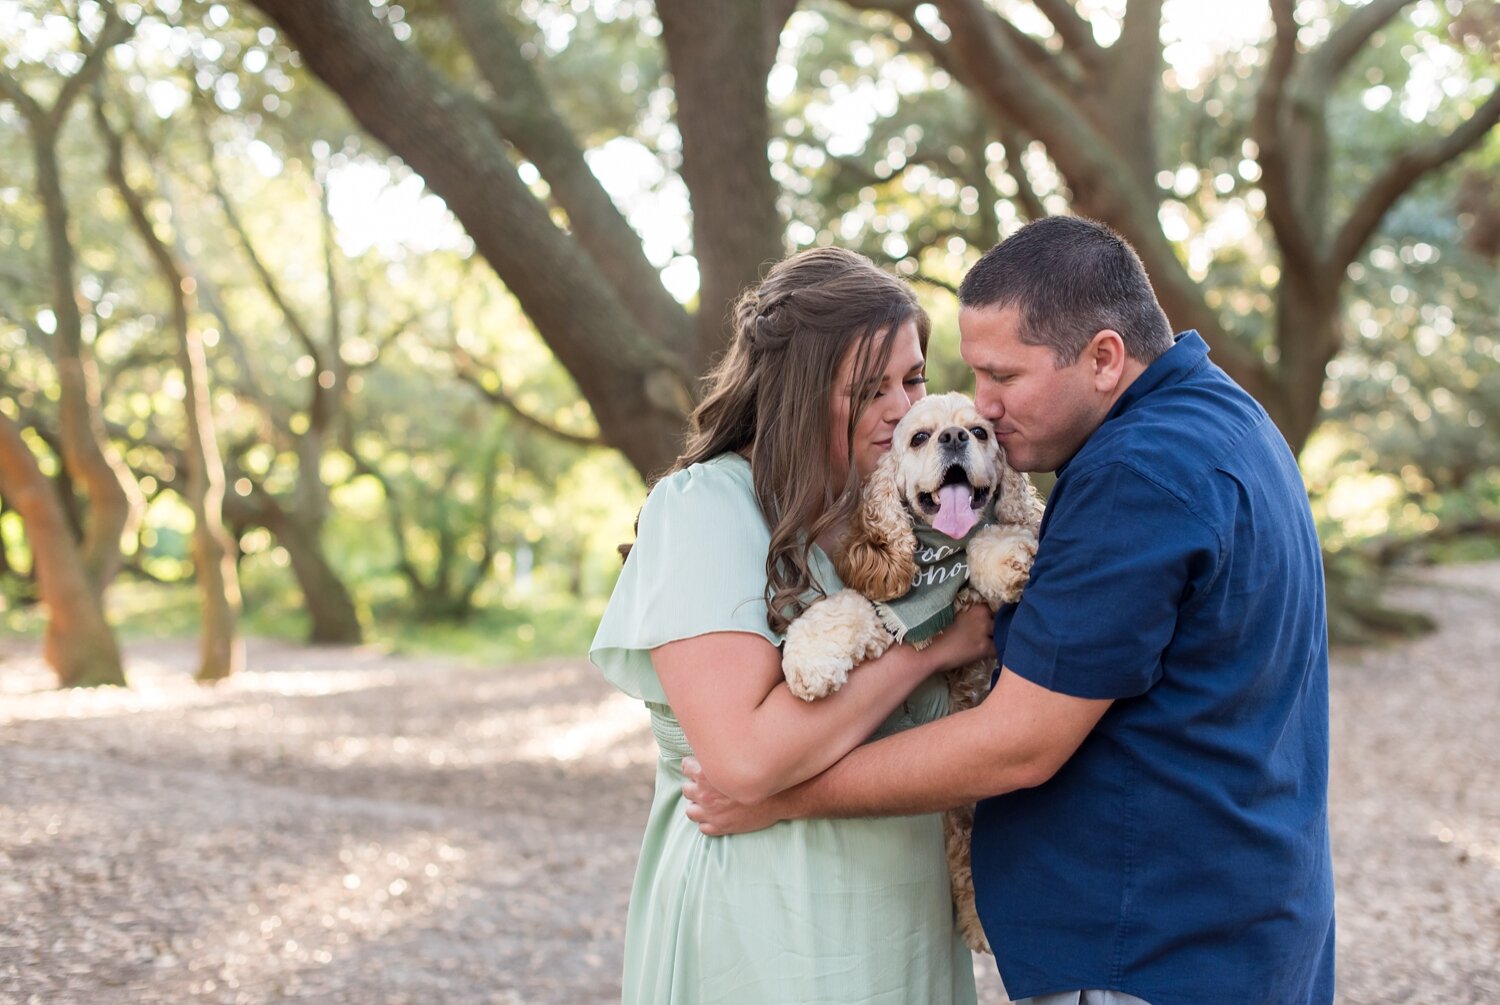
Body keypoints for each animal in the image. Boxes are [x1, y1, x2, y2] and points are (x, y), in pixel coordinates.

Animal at [780, 390, 1038, 954]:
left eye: (980, 432)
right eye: (919, 437)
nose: (954, 438)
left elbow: (999, 536)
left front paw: (1007, 559)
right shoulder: (889, 613)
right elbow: (845, 607)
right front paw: (808, 662)